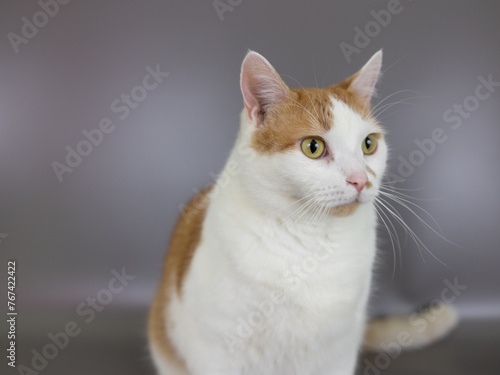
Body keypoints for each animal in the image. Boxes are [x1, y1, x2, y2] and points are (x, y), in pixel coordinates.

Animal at [148, 50, 458, 375]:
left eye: (368, 144)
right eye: (313, 147)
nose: (361, 180)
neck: (312, 240)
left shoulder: (339, 353)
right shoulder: (217, 351)